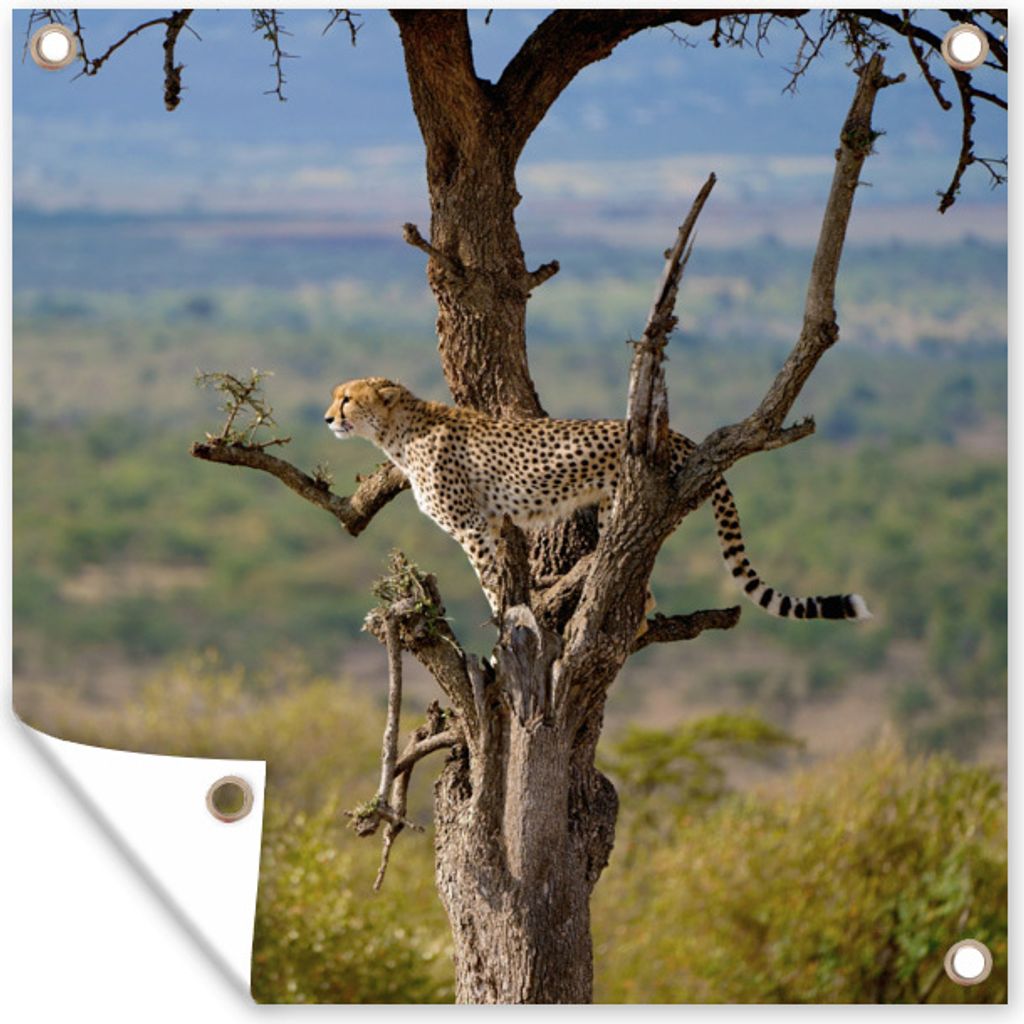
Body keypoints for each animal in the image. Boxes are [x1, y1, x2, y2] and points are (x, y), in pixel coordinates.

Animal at [325, 377, 872, 624]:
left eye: (347, 398)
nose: (328, 418)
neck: (399, 431)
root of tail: (681, 437)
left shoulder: (472, 526)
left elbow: (490, 581)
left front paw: (504, 627)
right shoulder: (495, 523)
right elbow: (501, 575)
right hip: (617, 508)